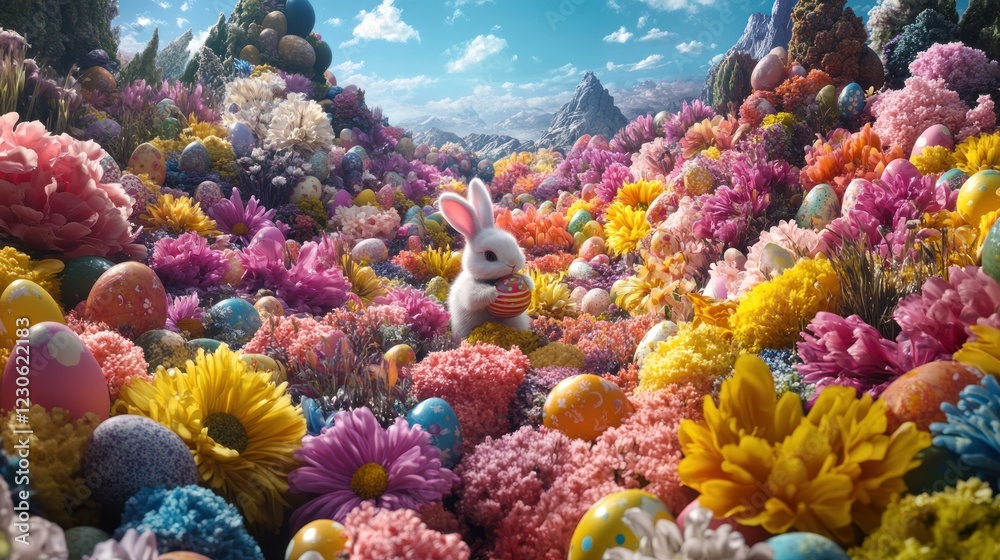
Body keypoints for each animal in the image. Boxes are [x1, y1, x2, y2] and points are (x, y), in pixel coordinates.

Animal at [439, 178, 533, 338]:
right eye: (490, 256)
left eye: (514, 242)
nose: (514, 264)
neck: (491, 280)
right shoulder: (468, 290)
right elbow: (473, 298)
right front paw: (493, 292)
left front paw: (527, 281)